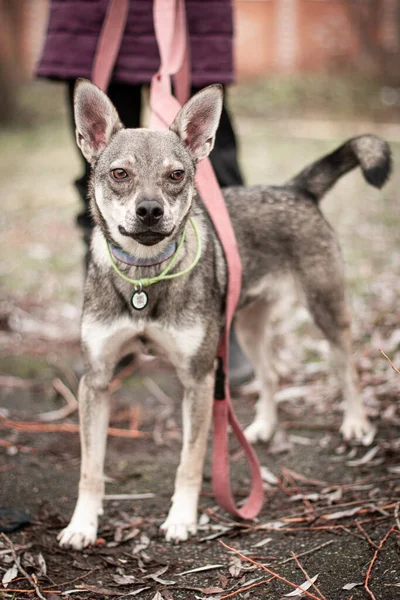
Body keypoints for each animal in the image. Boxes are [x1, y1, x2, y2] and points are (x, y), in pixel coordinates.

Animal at [57, 79, 392, 548]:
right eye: (119, 174)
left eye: (176, 175)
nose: (150, 211)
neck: (145, 278)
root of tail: (296, 189)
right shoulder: (97, 380)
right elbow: (91, 468)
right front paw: (82, 525)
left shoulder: (198, 379)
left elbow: (191, 461)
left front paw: (182, 518)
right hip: (247, 324)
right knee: (272, 375)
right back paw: (264, 428)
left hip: (325, 307)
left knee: (347, 365)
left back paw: (357, 423)